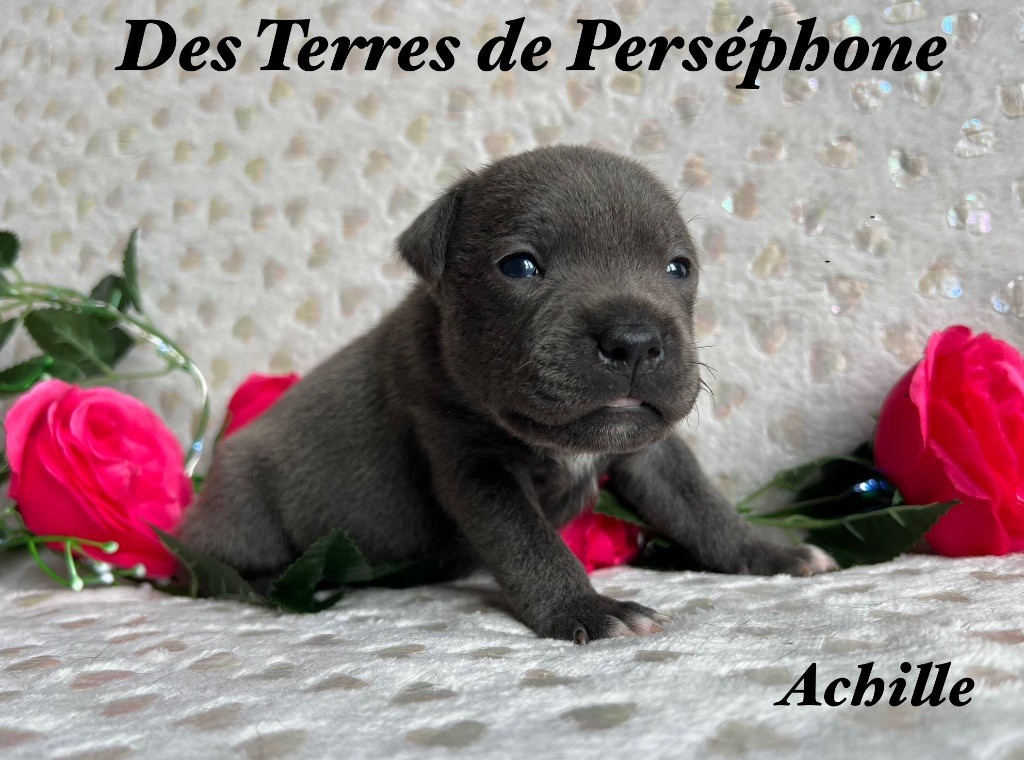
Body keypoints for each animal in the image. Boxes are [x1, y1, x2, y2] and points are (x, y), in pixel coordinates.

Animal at [181, 145, 835, 643]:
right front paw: (589, 611)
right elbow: (530, 544)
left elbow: (702, 507)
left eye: (679, 268)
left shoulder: (649, 452)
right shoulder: (474, 466)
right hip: (242, 506)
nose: (634, 340)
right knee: (218, 568)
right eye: (519, 266)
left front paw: (770, 555)